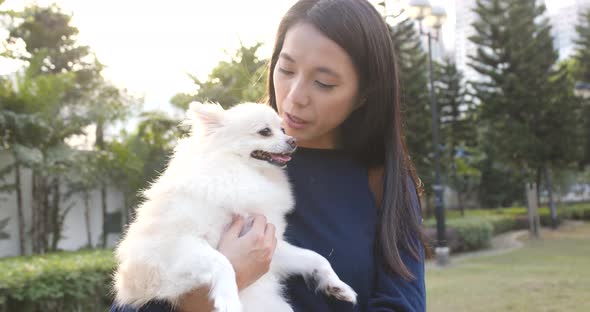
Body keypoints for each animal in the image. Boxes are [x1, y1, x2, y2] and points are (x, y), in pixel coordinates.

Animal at [114, 103, 358, 312]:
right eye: (265, 132)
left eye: (282, 129)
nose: (293, 140)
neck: (238, 171)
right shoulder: (176, 248)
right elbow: (222, 262)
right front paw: (228, 300)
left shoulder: (272, 250)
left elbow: (316, 257)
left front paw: (336, 284)